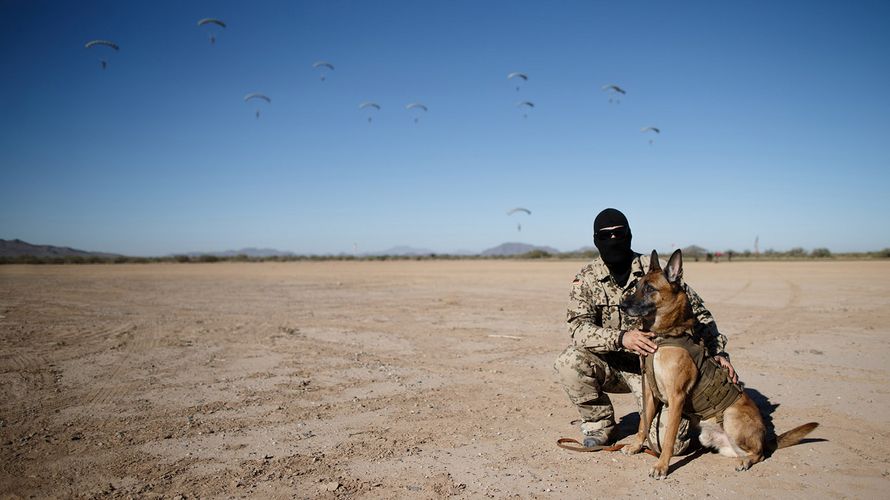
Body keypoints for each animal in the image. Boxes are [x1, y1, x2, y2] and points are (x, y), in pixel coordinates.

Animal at [612, 250, 816, 480]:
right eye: (637, 286)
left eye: (649, 289)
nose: (622, 305)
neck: (664, 337)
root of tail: (765, 438)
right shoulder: (650, 394)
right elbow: (642, 423)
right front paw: (636, 446)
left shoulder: (676, 398)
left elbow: (668, 438)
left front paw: (662, 465)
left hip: (731, 417)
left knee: (760, 453)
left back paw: (746, 461)